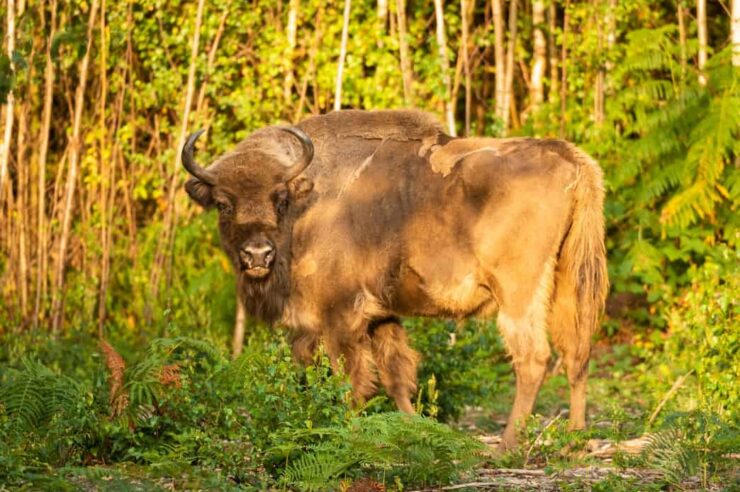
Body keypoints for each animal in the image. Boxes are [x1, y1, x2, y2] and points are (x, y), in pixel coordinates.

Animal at [182, 110, 604, 450]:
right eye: (223, 203)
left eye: (279, 198)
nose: (257, 255)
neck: (308, 203)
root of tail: (570, 157)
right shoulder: (380, 315)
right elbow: (395, 374)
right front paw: (413, 429)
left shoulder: (339, 318)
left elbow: (350, 381)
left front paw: (345, 434)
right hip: (568, 282)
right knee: (577, 354)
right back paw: (574, 441)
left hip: (518, 293)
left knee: (533, 359)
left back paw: (506, 447)